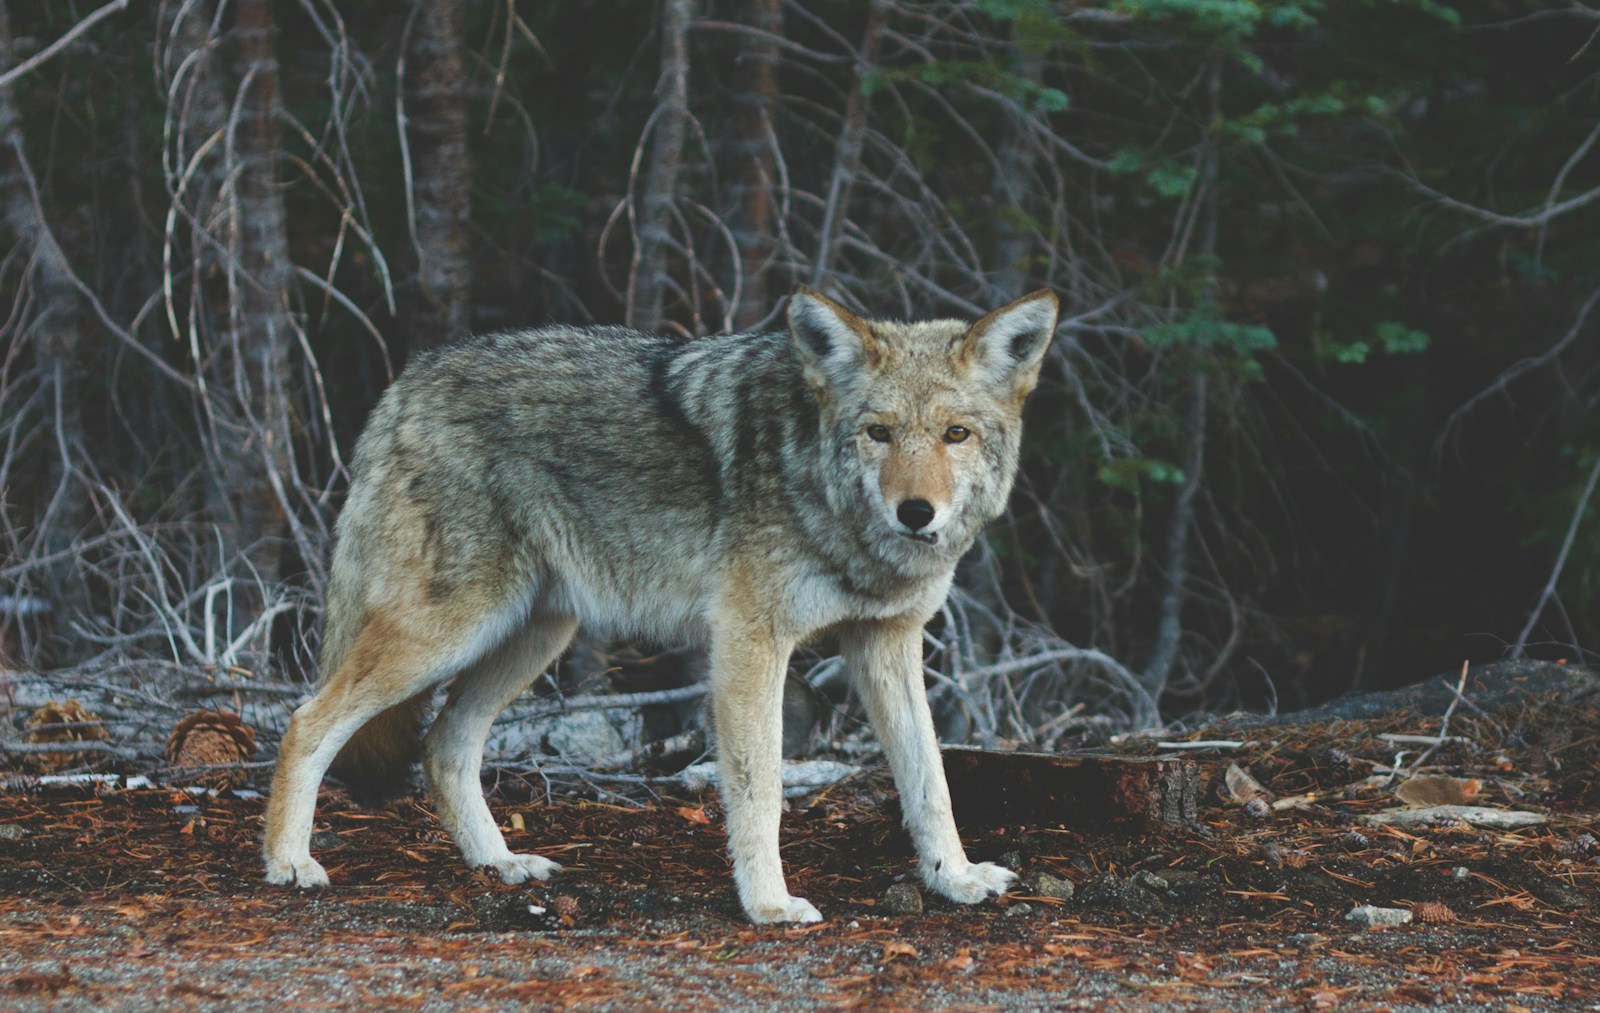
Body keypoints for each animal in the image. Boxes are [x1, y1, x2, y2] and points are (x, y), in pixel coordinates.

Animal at [263, 286, 1059, 923]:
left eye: (955, 434)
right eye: (879, 432)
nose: (916, 512)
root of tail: (408, 379)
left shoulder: (886, 643)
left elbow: (931, 781)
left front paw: (955, 878)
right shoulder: (749, 641)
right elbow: (761, 788)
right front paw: (769, 905)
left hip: (533, 636)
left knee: (443, 746)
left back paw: (501, 864)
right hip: (449, 632)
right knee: (307, 720)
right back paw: (289, 862)